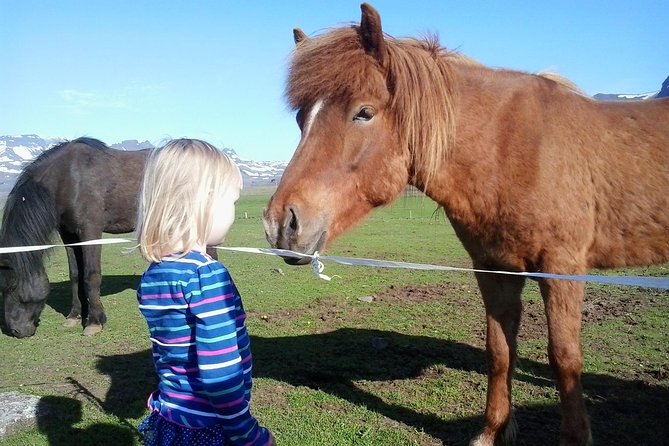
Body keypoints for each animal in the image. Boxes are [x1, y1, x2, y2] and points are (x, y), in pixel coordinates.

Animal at [0, 138, 147, 336]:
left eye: (13, 286)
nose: (15, 331)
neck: (68, 179)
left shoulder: (90, 231)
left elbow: (91, 275)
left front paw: (94, 322)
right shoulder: (69, 234)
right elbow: (76, 274)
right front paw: (75, 316)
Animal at [264, 4, 668, 446]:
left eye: (364, 112)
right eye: (301, 118)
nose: (281, 224)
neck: (511, 150)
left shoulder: (561, 269)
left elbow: (565, 359)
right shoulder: (494, 270)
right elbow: (500, 351)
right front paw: (492, 431)